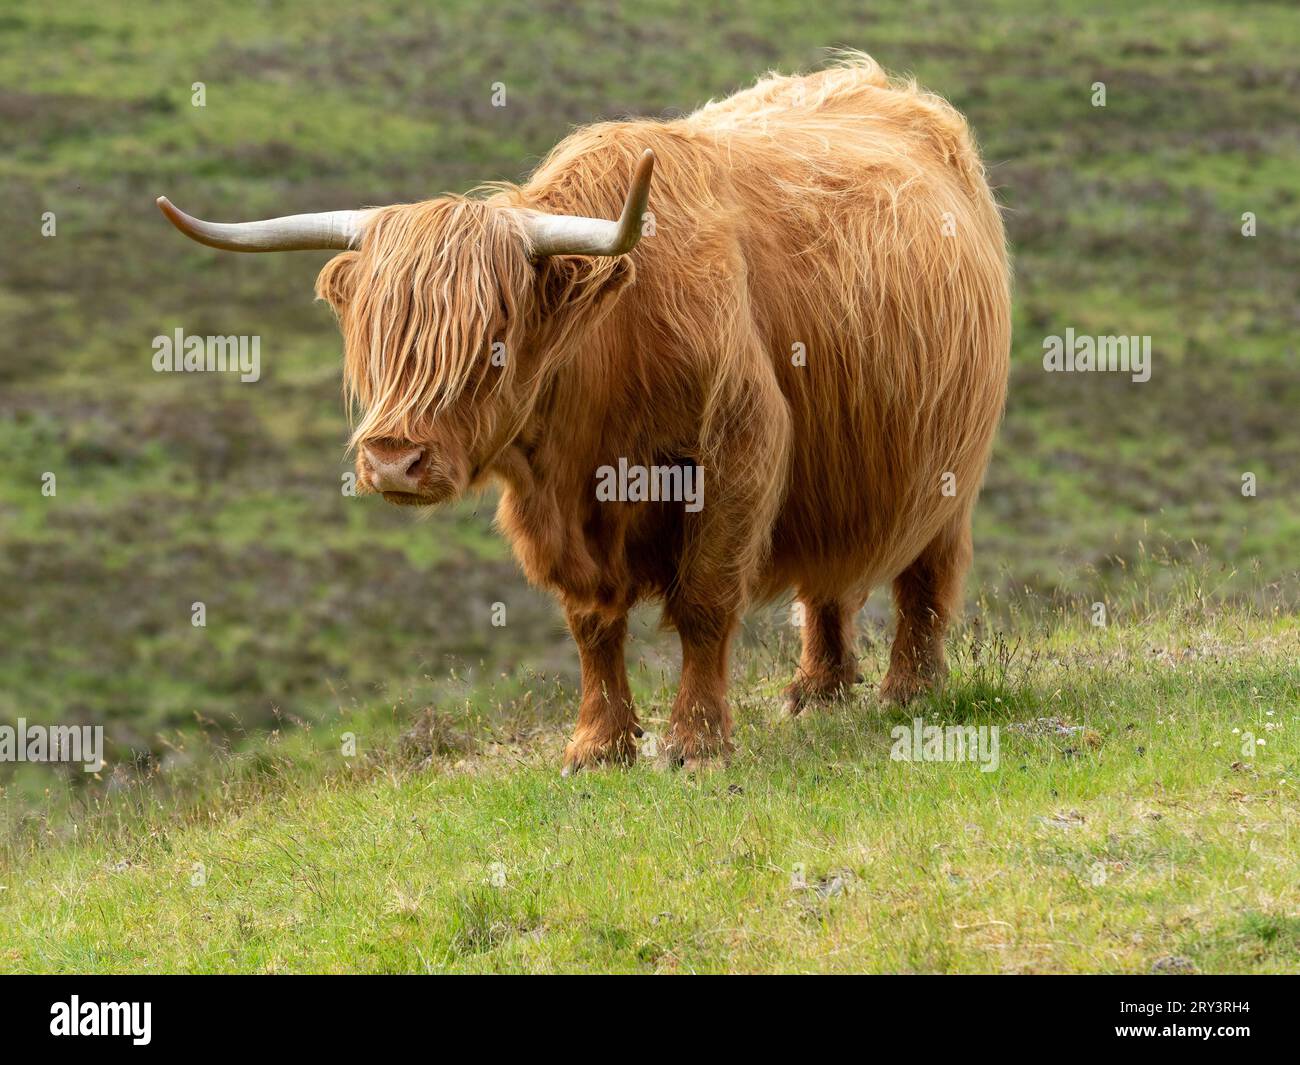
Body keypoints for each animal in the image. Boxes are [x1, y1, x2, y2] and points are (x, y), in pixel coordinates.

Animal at [158, 52, 1012, 773]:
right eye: (376, 334)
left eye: (493, 340)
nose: (394, 460)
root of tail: (879, 84)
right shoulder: (549, 506)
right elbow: (591, 624)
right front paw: (599, 747)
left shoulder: (736, 455)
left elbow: (704, 605)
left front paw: (697, 743)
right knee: (827, 582)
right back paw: (818, 690)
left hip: (948, 469)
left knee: (926, 575)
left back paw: (910, 690)